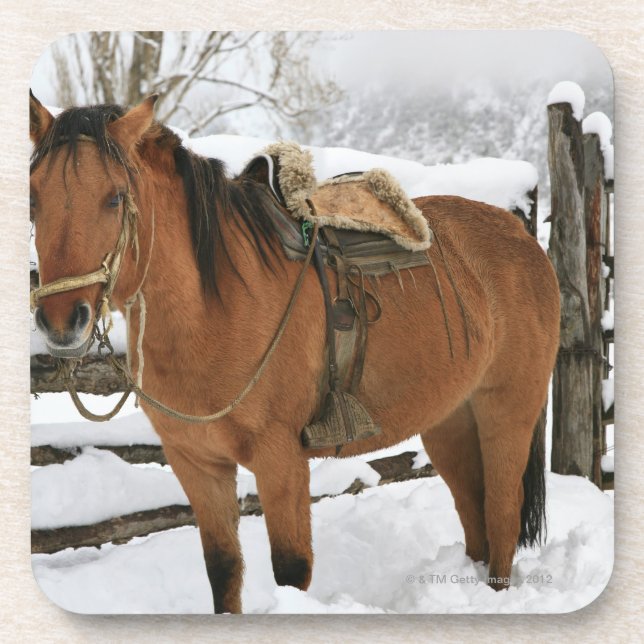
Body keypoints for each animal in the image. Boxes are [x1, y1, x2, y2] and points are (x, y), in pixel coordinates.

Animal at [29, 93, 560, 614]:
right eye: (33, 197)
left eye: (115, 197)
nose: (62, 321)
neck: (215, 307)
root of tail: (520, 234)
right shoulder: (197, 465)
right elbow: (223, 570)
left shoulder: (280, 459)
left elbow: (290, 570)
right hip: (449, 420)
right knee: (474, 513)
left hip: (506, 410)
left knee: (502, 514)